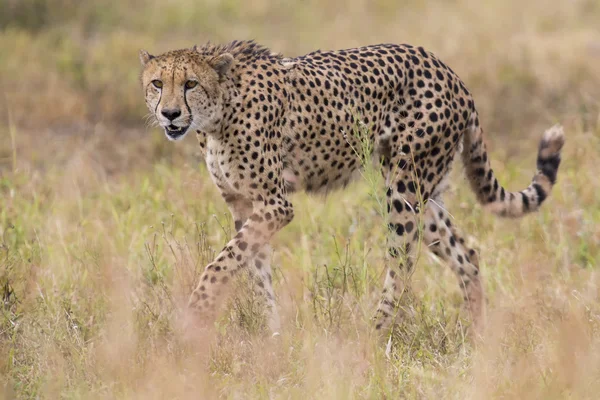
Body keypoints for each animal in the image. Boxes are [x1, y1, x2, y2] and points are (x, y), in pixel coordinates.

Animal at [139, 39, 564, 334]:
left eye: (190, 83)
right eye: (157, 83)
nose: (170, 114)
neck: (219, 113)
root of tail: (449, 71)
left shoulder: (275, 205)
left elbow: (221, 262)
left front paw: (196, 309)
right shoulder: (246, 207)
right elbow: (253, 269)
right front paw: (272, 332)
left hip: (403, 188)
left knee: (403, 260)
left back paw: (374, 333)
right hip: (426, 193)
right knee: (467, 255)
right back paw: (478, 336)